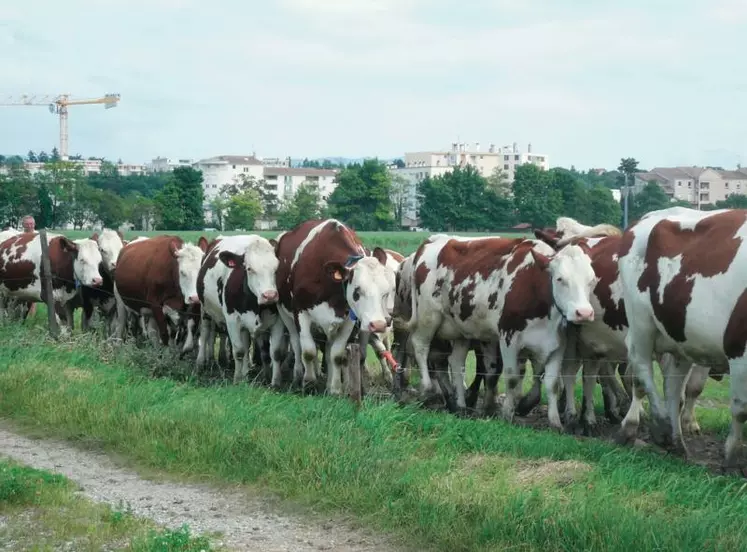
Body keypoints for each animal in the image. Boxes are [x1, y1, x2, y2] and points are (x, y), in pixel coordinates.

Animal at [194, 235, 282, 386]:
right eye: (249, 268)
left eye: (276, 268)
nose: (270, 295)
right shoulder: (232, 320)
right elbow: (239, 351)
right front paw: (237, 379)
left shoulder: (277, 321)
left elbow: (274, 352)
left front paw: (274, 383)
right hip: (204, 309)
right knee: (205, 332)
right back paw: (200, 362)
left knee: (246, 345)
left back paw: (245, 373)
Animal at [272, 218, 394, 394]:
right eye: (357, 291)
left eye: (385, 292)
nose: (378, 324)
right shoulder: (300, 312)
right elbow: (308, 351)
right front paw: (309, 383)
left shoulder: (349, 319)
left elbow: (336, 355)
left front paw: (335, 389)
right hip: (284, 313)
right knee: (296, 344)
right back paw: (297, 375)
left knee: (329, 349)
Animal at [406, 234, 600, 426]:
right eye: (560, 279)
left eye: (591, 280)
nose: (584, 313)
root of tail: (435, 239)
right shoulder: (509, 338)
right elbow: (512, 377)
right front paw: (507, 414)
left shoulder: (557, 345)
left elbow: (552, 384)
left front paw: (554, 422)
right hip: (428, 317)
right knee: (421, 346)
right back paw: (427, 389)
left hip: (460, 329)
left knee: (455, 361)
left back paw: (460, 405)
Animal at [616, 207, 747, 470]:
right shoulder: (738, 347)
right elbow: (741, 409)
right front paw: (732, 458)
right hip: (640, 321)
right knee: (641, 368)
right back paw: (660, 427)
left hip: (681, 336)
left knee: (673, 387)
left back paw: (677, 441)